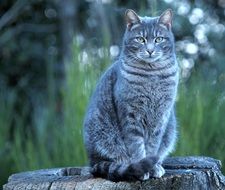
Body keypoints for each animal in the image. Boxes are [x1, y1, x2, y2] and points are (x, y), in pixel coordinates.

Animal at [83, 8, 178, 181]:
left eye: (159, 39)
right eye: (140, 39)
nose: (150, 50)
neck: (152, 75)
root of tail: (92, 163)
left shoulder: (161, 117)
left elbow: (153, 146)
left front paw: (153, 167)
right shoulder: (131, 115)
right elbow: (137, 146)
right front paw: (143, 168)